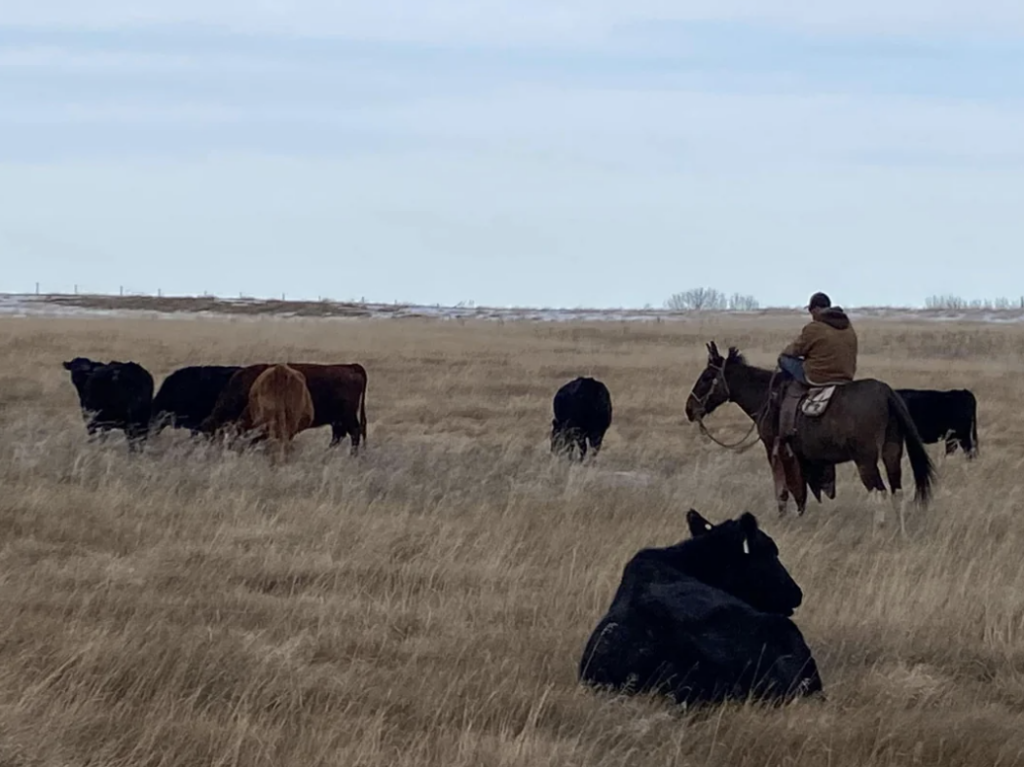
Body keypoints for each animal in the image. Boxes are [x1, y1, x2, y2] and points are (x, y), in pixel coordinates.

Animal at [200, 362, 368, 452]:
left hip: (346, 417)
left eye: (211, 435)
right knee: (339, 436)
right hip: (338, 420)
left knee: (354, 433)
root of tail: (350, 367)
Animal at [684, 342, 933, 532]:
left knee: (878, 491)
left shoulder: (773, 449)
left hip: (866, 460)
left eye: (707, 377)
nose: (689, 409)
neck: (767, 396)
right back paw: (900, 530)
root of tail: (885, 392)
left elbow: (782, 488)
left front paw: (782, 518)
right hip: (892, 453)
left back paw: (878, 530)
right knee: (896, 492)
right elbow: (800, 489)